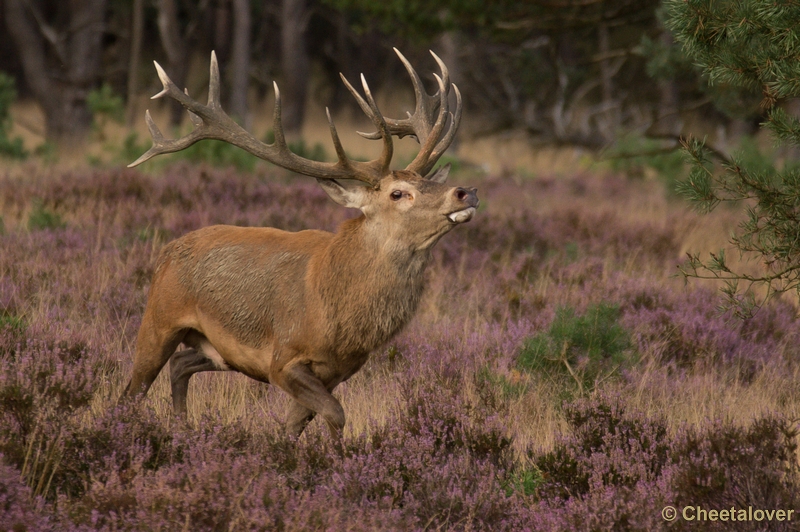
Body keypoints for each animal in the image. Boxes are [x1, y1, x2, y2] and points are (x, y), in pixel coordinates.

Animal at [122, 47, 478, 438]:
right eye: (398, 193)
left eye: (426, 181)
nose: (465, 192)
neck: (339, 319)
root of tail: (166, 252)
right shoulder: (283, 358)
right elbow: (335, 414)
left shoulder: (340, 370)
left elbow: (295, 424)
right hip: (159, 319)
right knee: (133, 389)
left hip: (213, 349)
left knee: (180, 364)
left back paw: (182, 427)